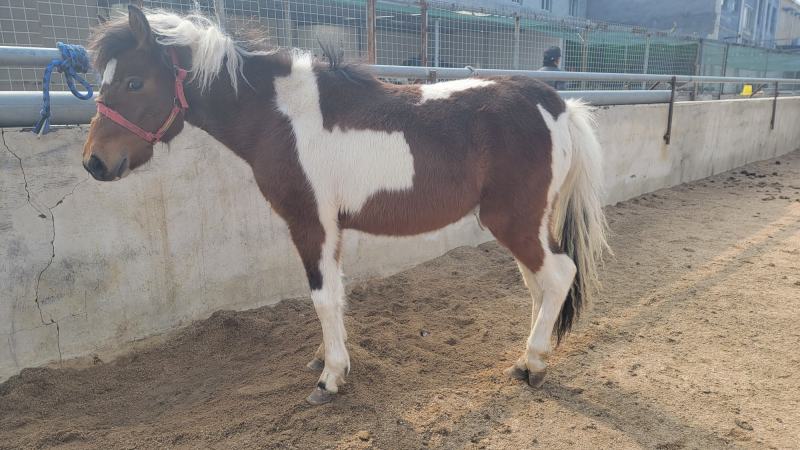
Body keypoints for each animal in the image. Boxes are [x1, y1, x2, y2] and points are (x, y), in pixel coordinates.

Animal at [83, 6, 609, 405]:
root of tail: (557, 105)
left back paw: (532, 365)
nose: (94, 163)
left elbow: (321, 295)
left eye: (134, 82)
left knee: (557, 275)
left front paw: (330, 378)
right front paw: (326, 357)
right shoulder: (330, 228)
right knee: (539, 284)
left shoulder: (309, 223)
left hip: (514, 221)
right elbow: (334, 294)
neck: (282, 118)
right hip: (531, 223)